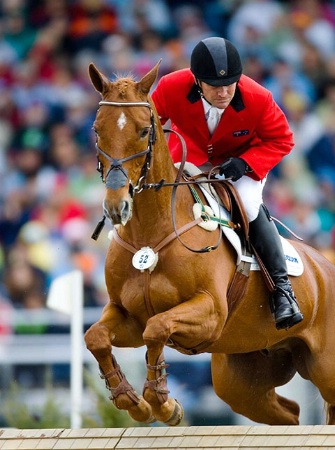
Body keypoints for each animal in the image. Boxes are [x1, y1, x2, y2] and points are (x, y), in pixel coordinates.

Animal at [84, 60, 335, 426]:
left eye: (144, 131)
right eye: (97, 130)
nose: (117, 206)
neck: (150, 232)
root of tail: (326, 267)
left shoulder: (210, 312)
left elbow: (157, 329)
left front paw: (163, 404)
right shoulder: (126, 314)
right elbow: (97, 337)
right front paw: (132, 401)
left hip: (324, 367)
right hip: (244, 378)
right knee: (289, 414)